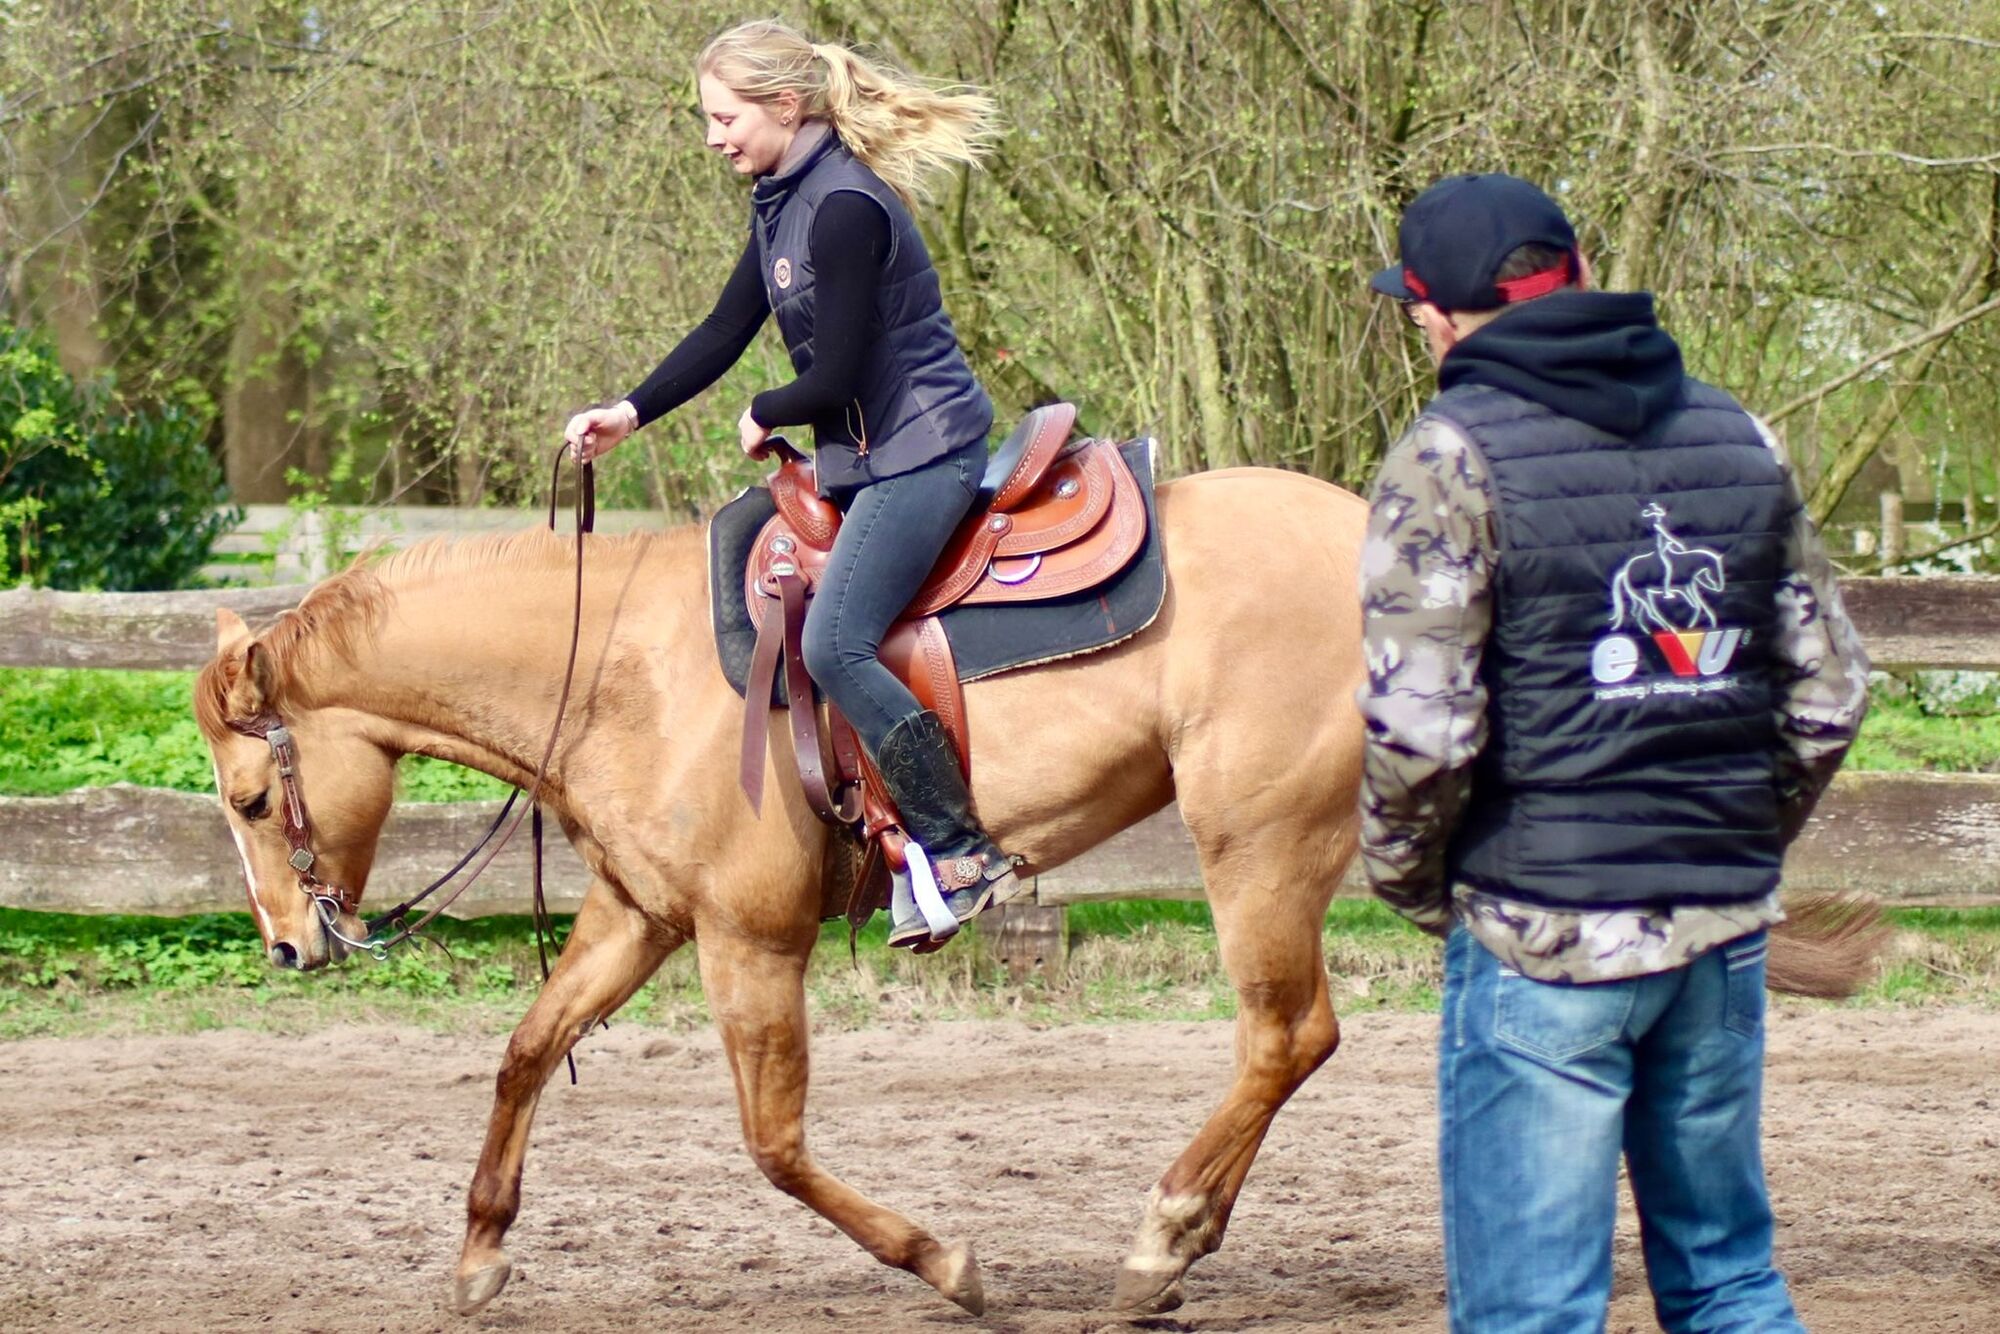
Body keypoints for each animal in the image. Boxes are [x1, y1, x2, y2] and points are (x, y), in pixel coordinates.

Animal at [203, 468, 1384, 1312]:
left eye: (252, 799)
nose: (287, 947)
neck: (619, 677)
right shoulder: (639, 919)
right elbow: (528, 1050)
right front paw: (480, 1251)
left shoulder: (751, 939)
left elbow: (772, 1143)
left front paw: (944, 1261)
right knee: (1291, 1038)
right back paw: (1184, 1242)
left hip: (1257, 843)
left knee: (1286, 1034)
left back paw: (1161, 1235)